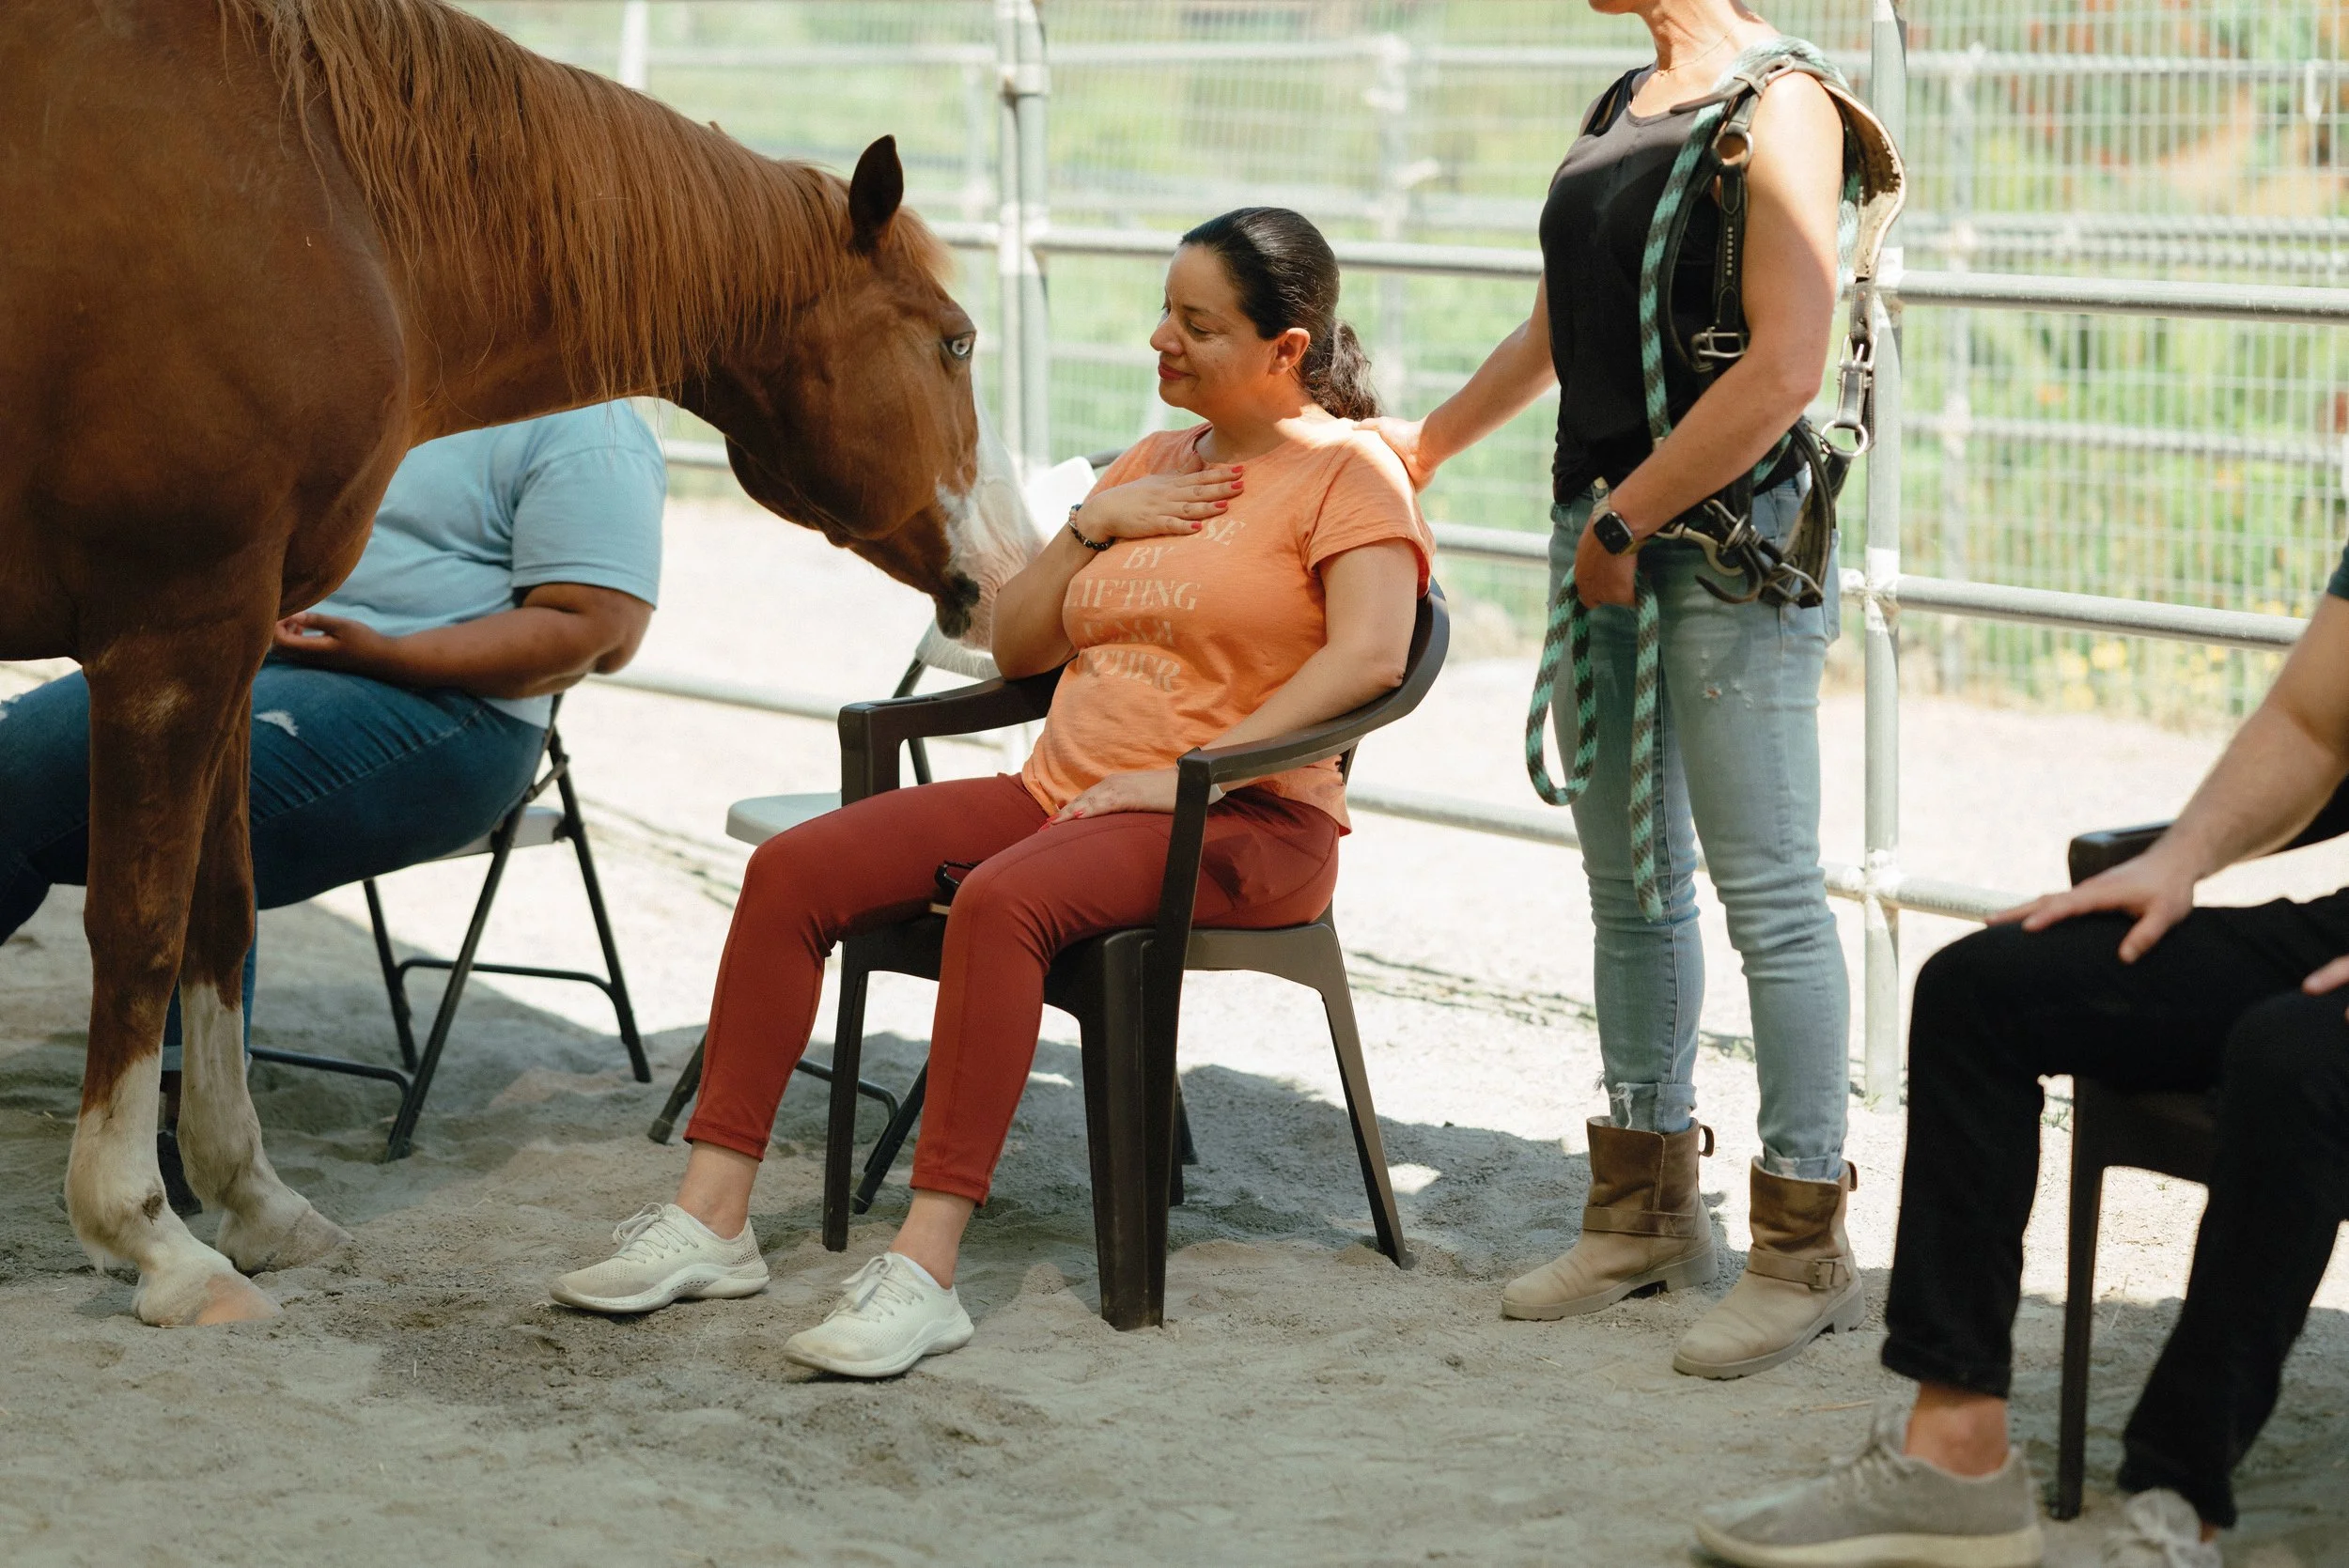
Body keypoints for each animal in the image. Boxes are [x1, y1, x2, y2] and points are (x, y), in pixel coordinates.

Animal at [0, 0, 1039, 1326]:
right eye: (954, 343)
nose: (1007, 572)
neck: (325, 195)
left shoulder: (234, 640)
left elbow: (216, 918)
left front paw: (254, 1203)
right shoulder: (170, 634)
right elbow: (135, 925)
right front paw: (150, 1238)